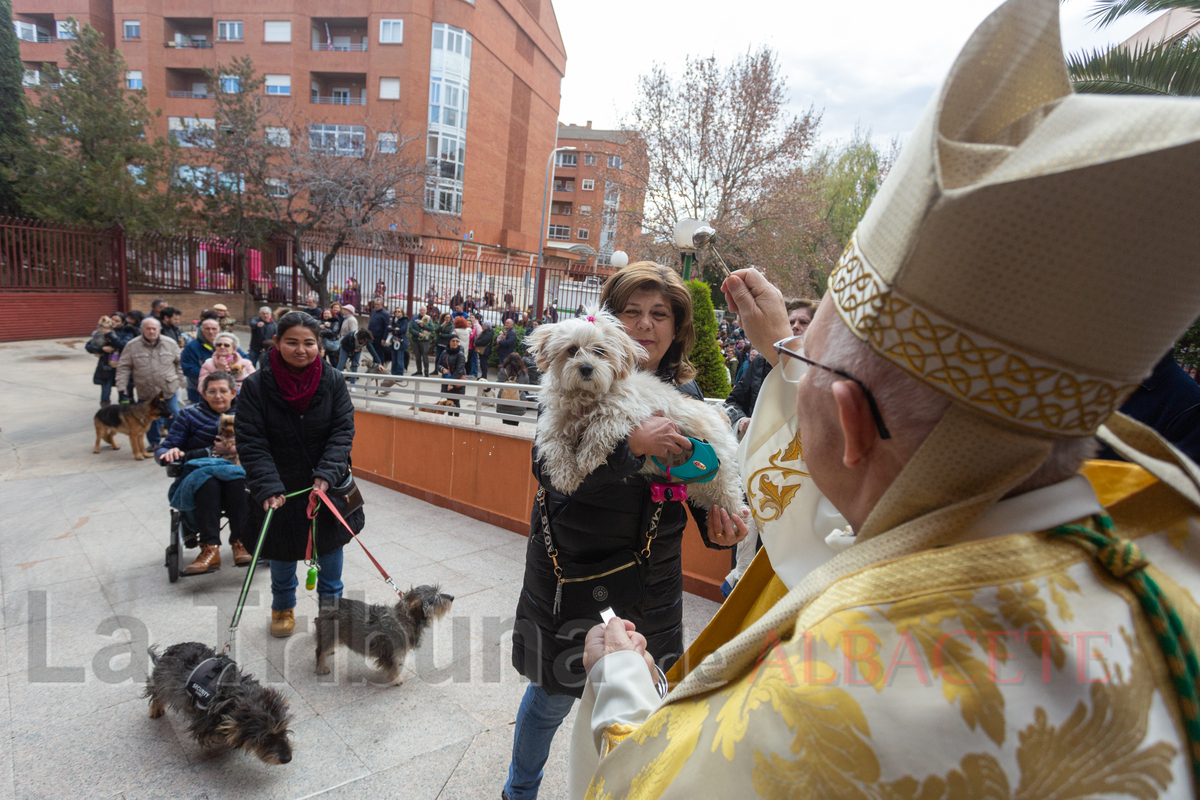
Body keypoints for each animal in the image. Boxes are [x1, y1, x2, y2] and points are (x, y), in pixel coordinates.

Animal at [528, 307, 744, 520]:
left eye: (600, 351)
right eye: (572, 350)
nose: (586, 368)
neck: (586, 397)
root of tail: (720, 415)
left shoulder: (628, 410)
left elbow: (600, 427)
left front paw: (587, 457)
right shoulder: (553, 424)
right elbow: (555, 447)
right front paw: (565, 476)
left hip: (719, 471)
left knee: (733, 498)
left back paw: (737, 519)